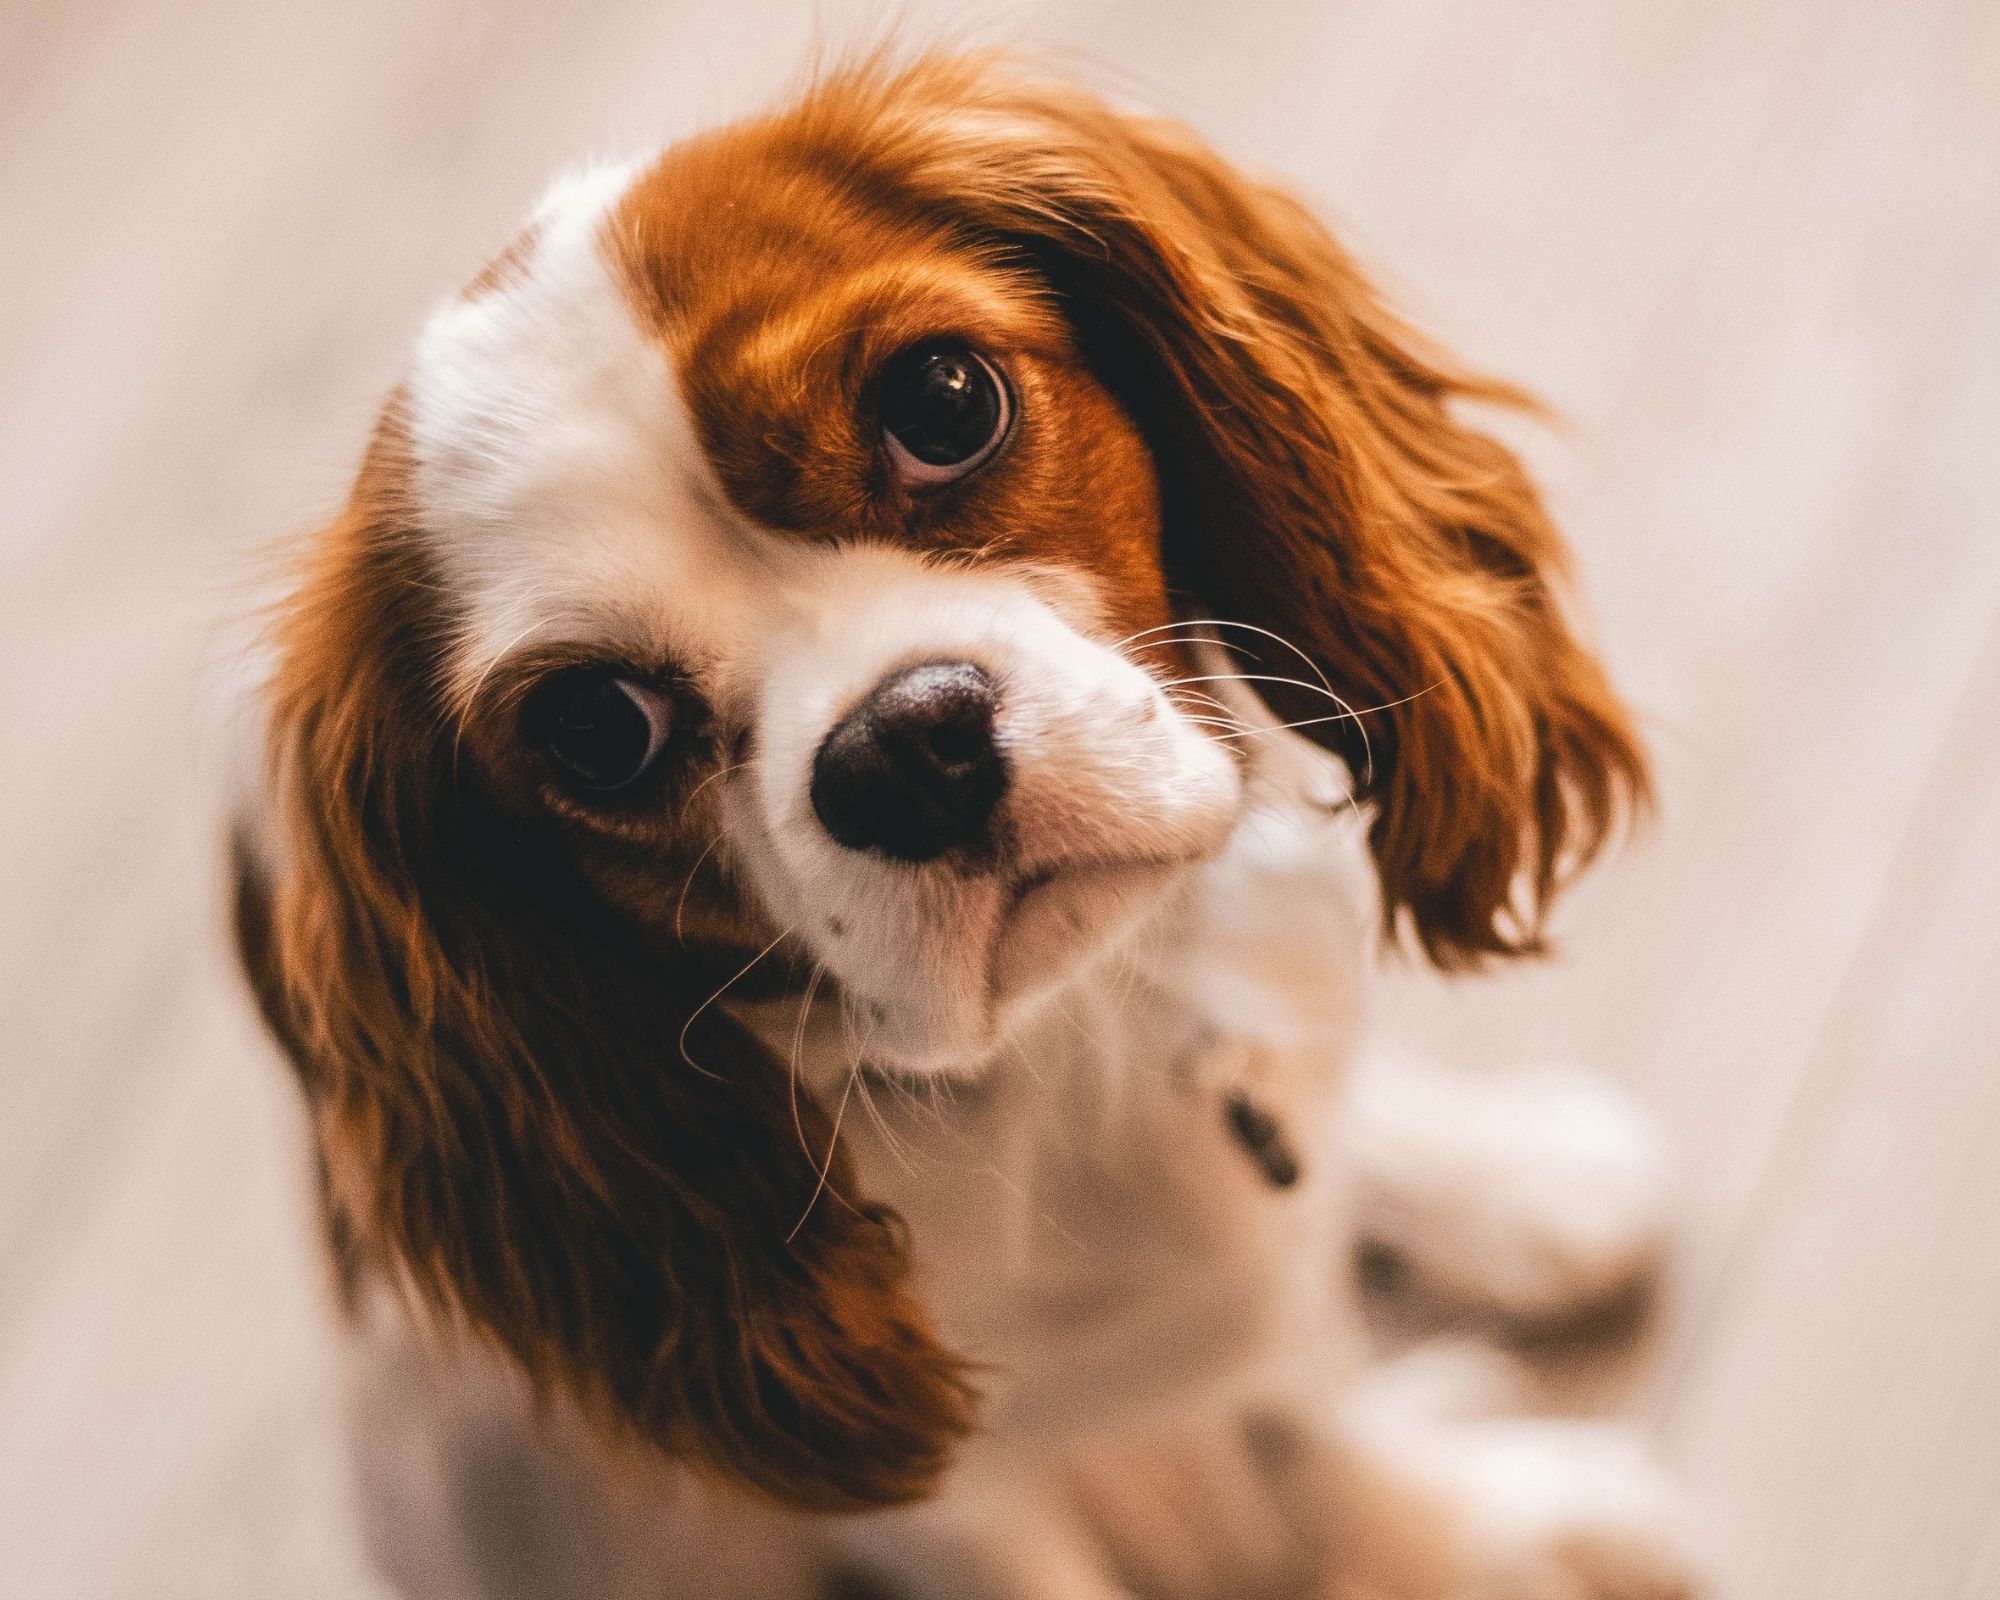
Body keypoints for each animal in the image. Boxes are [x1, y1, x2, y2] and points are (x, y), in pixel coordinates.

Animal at [238, 50, 1704, 1600]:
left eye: (942, 401)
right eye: (597, 730)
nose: (901, 749)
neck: (1081, 1046)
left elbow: (1311, 1409)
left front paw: (1470, 1523)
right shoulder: (942, 1501)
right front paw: (1481, 1534)